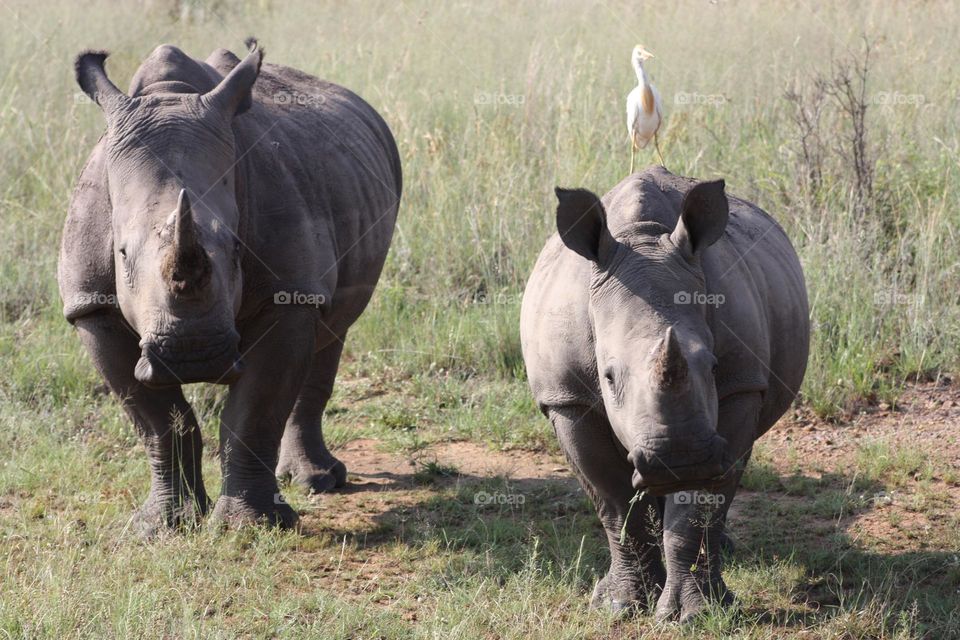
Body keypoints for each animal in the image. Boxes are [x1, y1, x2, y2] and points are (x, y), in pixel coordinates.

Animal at [59, 37, 402, 532]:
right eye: (121, 254)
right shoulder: (90, 304)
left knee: (332, 328)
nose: (192, 355)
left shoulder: (289, 291)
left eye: (237, 247)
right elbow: (157, 421)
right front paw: (163, 526)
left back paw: (319, 481)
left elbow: (254, 412)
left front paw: (253, 526)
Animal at [520, 168, 808, 624]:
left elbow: (700, 507)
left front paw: (697, 612)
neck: (642, 239)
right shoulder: (567, 397)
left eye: (713, 366)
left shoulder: (741, 386)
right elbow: (614, 501)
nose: (681, 460)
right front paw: (620, 605)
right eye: (608, 377)